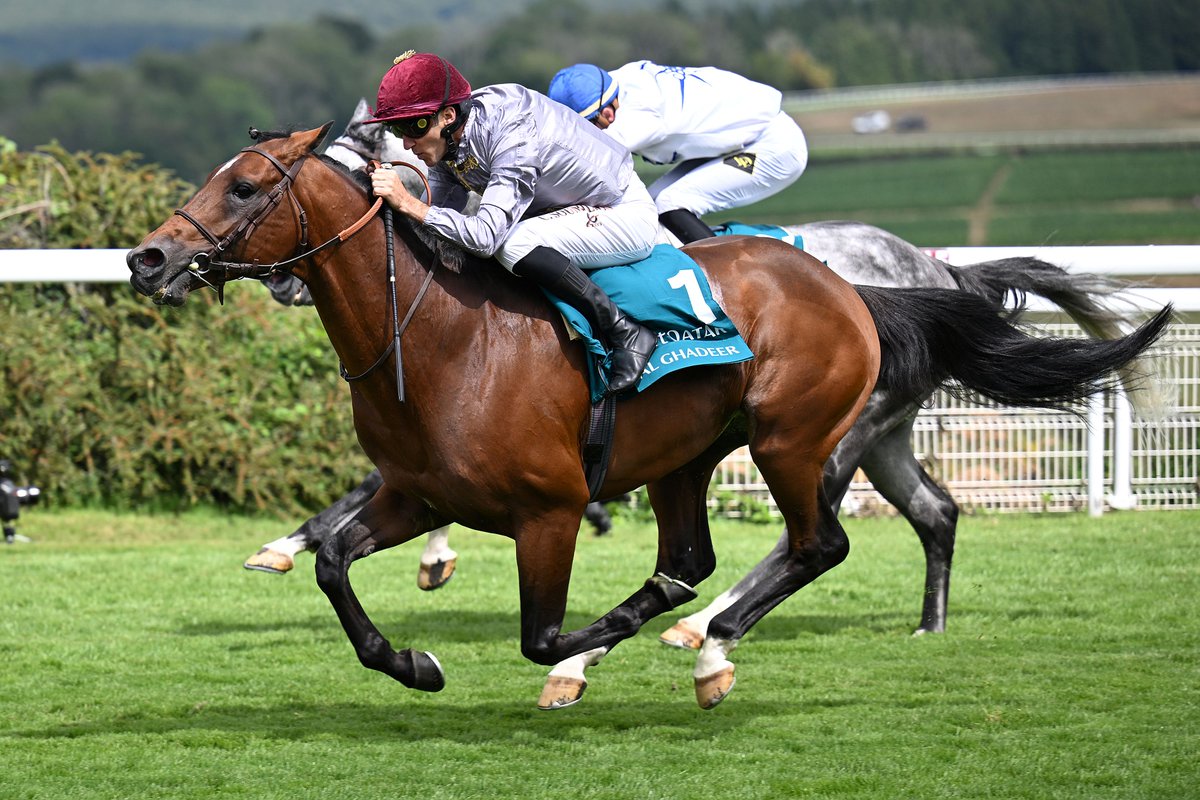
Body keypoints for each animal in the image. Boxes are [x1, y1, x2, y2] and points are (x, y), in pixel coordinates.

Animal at [127, 125, 1168, 709]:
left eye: (246, 186)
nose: (148, 258)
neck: (438, 337)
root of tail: (866, 283)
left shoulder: (545, 511)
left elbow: (543, 635)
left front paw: (573, 662)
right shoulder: (418, 492)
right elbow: (337, 560)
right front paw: (410, 659)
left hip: (800, 438)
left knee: (814, 543)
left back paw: (708, 643)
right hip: (709, 455)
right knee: (773, 543)